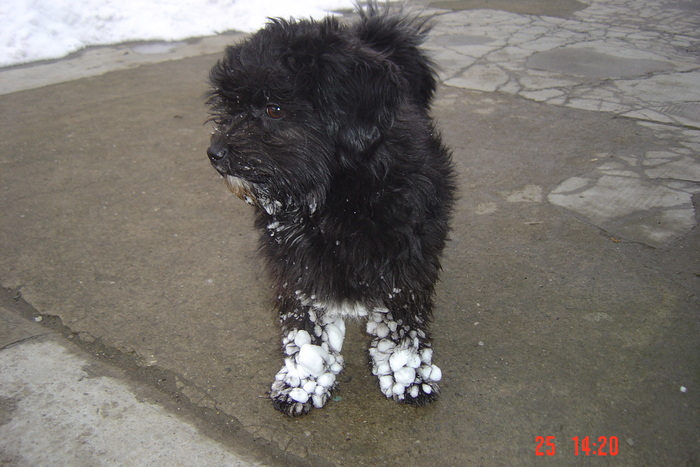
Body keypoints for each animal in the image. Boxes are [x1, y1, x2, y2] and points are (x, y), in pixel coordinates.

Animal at [205, 1, 456, 414]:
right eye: (230, 105)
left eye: (275, 108)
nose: (216, 154)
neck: (339, 195)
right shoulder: (296, 264)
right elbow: (306, 327)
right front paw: (302, 383)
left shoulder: (407, 261)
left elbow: (403, 322)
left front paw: (409, 377)